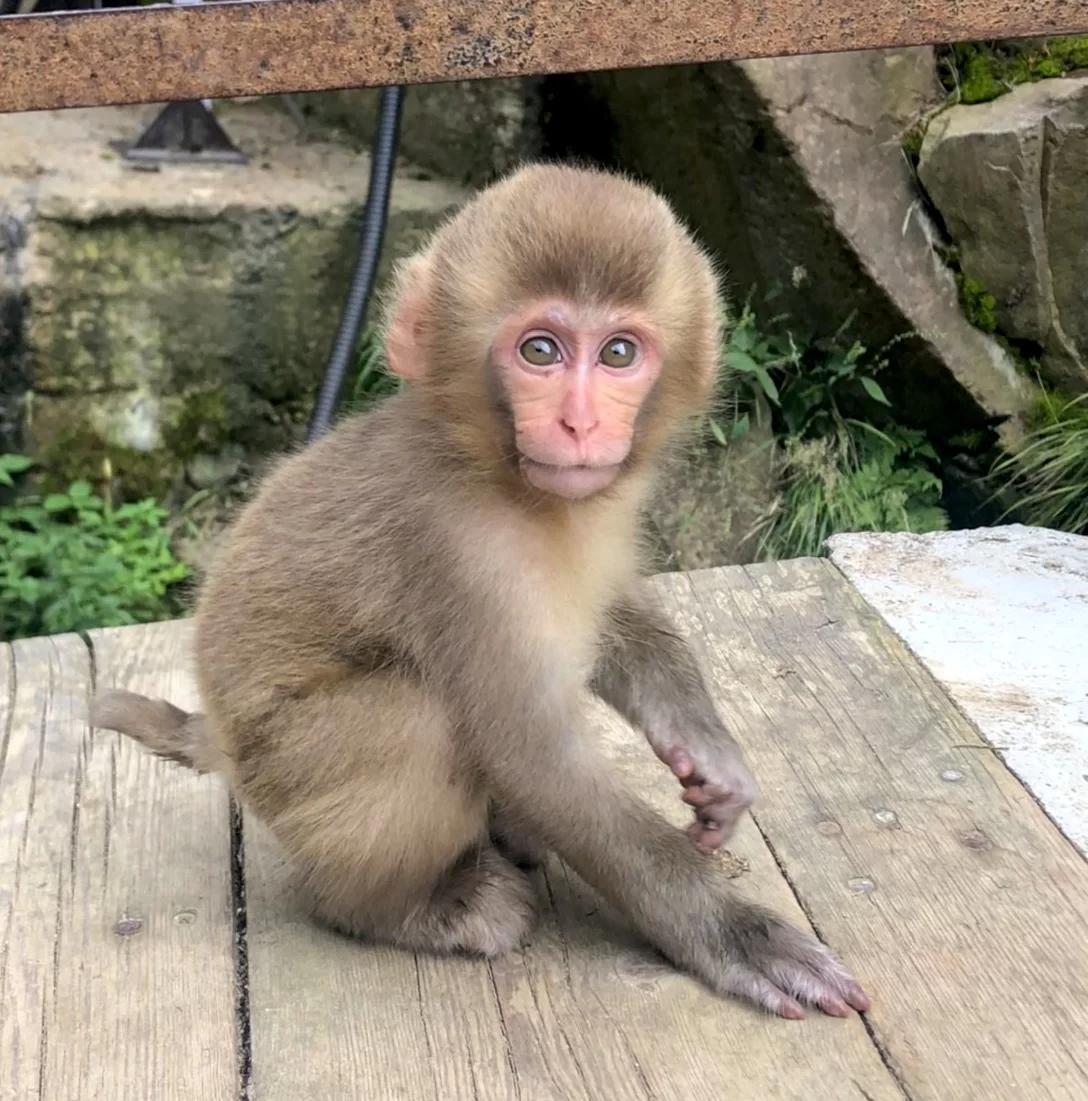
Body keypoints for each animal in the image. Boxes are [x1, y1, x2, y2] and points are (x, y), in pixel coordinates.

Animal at [91, 163, 870, 1021]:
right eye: (540, 350)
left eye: (619, 352)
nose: (579, 423)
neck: (500, 474)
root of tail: (224, 738)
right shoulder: (459, 548)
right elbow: (531, 755)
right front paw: (733, 931)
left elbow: (614, 616)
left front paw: (709, 753)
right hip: (284, 773)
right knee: (416, 719)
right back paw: (393, 907)